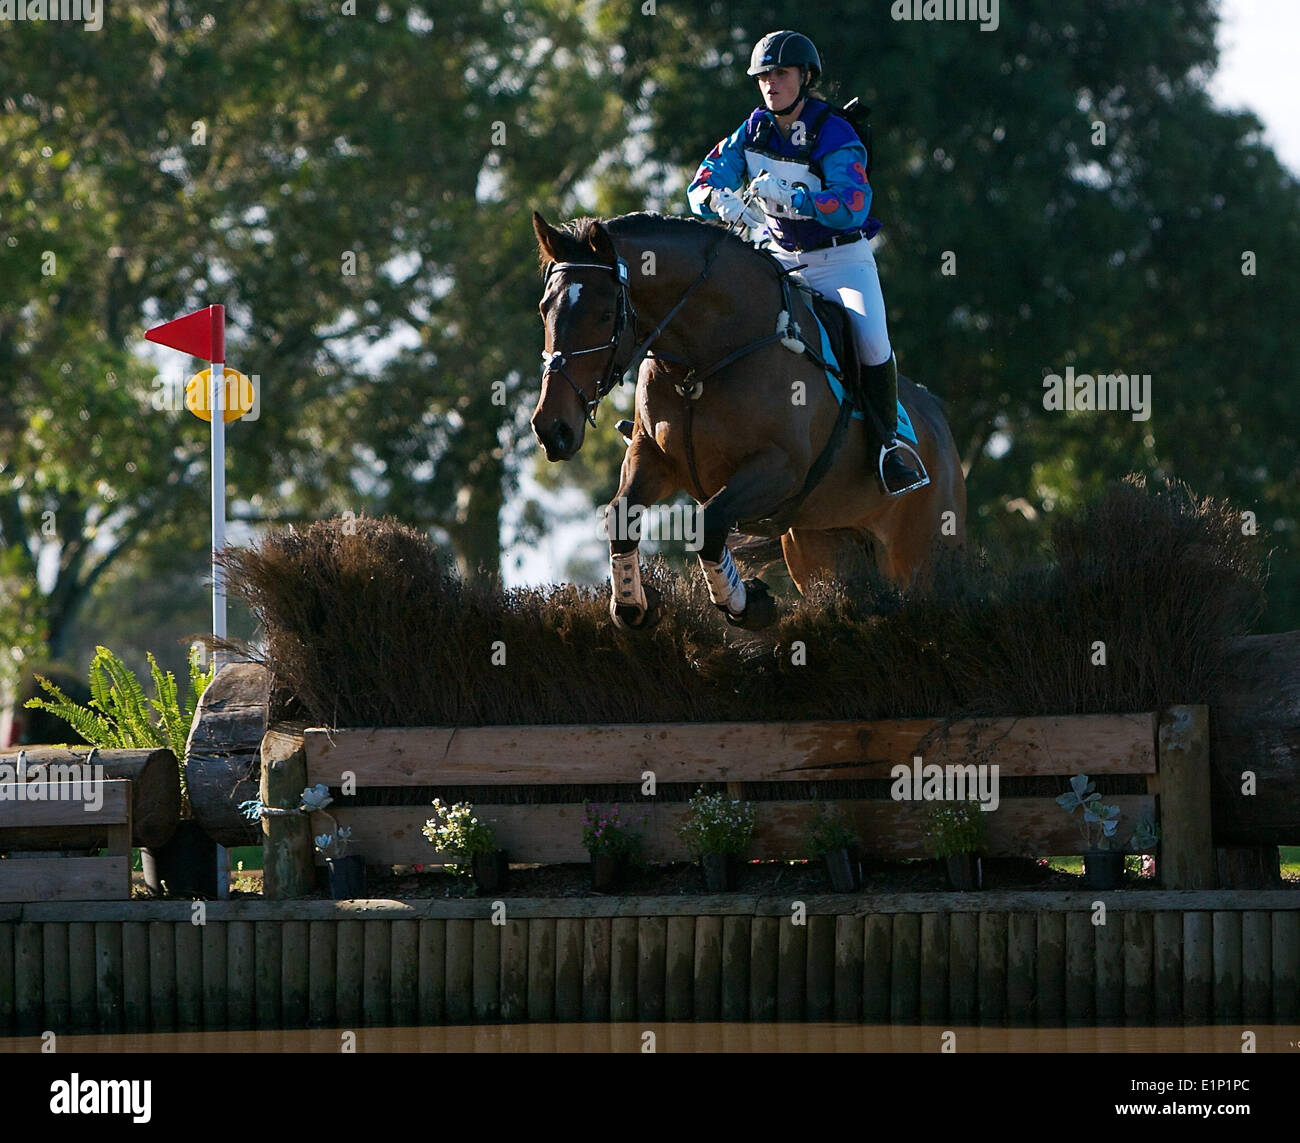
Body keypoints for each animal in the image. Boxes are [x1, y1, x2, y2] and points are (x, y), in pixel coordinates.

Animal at [527, 210, 967, 629]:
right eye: (544, 308)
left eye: (604, 315)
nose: (553, 429)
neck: (702, 362)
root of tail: (941, 424)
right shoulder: (653, 456)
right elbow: (620, 516)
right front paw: (633, 605)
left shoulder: (779, 468)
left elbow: (708, 525)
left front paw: (749, 604)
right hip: (823, 549)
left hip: (922, 556)